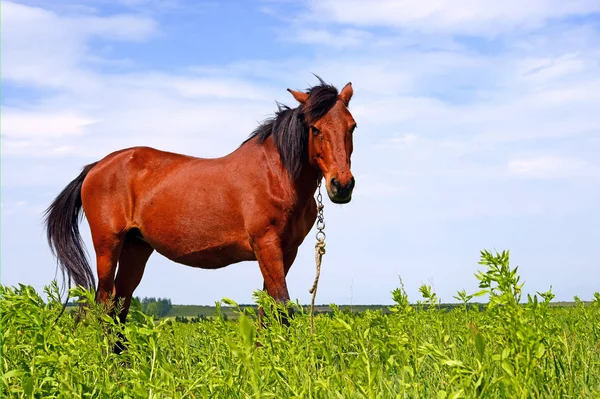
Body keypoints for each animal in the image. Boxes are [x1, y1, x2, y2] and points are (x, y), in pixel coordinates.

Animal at [45, 77, 356, 346]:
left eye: (351, 126)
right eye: (315, 128)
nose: (341, 185)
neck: (274, 175)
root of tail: (95, 167)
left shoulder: (286, 251)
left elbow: (267, 308)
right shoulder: (266, 245)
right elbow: (281, 306)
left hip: (136, 248)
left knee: (120, 306)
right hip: (108, 246)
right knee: (104, 304)